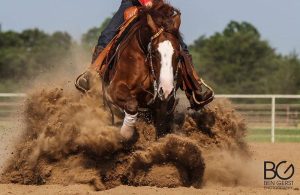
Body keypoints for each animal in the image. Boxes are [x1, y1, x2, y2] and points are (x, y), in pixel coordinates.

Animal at [103, 2, 183, 139]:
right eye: (154, 52)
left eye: (178, 55)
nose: (166, 90)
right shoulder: (113, 88)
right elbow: (132, 104)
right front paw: (126, 132)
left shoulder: (162, 103)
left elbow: (161, 122)